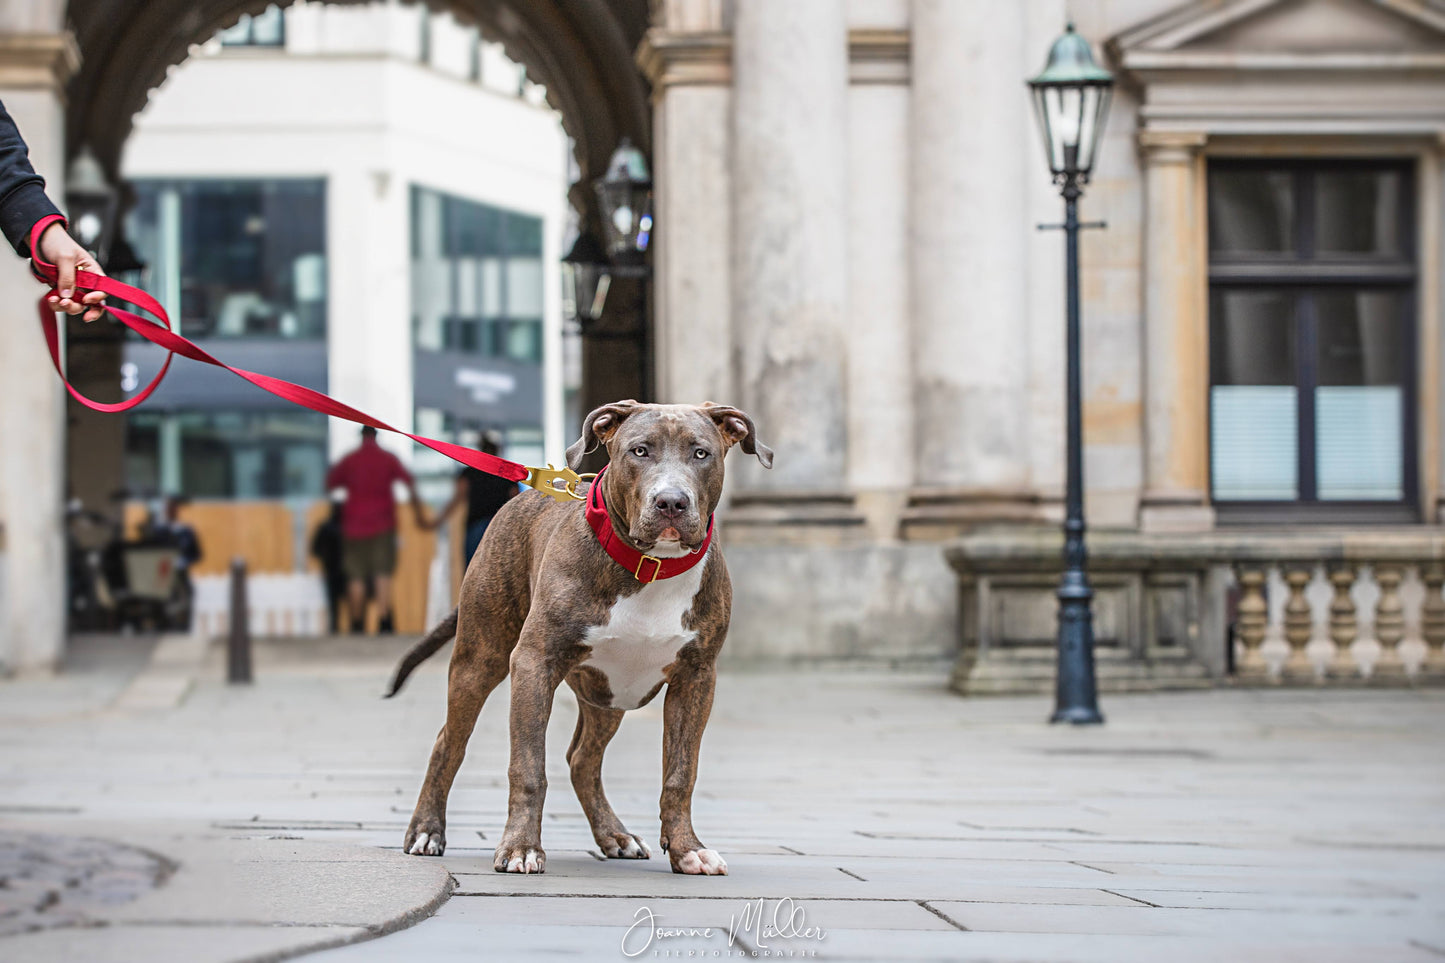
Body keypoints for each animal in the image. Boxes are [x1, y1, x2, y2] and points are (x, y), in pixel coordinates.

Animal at [381, 396, 768, 867]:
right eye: (639, 451)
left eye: (701, 453)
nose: (671, 502)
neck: (651, 566)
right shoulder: (534, 663)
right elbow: (529, 766)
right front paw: (521, 847)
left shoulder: (696, 679)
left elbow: (681, 773)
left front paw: (687, 849)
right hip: (480, 659)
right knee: (448, 742)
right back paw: (425, 831)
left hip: (610, 692)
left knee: (583, 759)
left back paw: (615, 835)